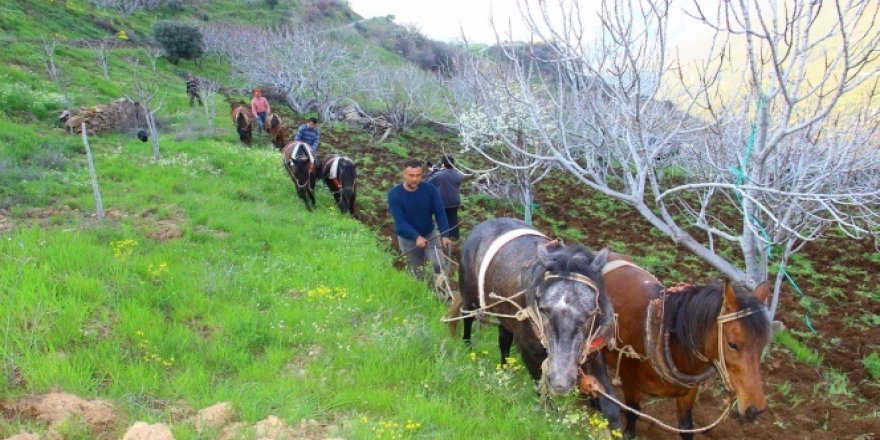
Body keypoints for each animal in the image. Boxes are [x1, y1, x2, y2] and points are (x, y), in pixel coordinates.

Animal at [600, 254, 768, 440]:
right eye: (733, 344)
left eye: (763, 344)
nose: (755, 409)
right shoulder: (630, 383)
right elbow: (633, 413)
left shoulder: (689, 392)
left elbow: (686, 427)